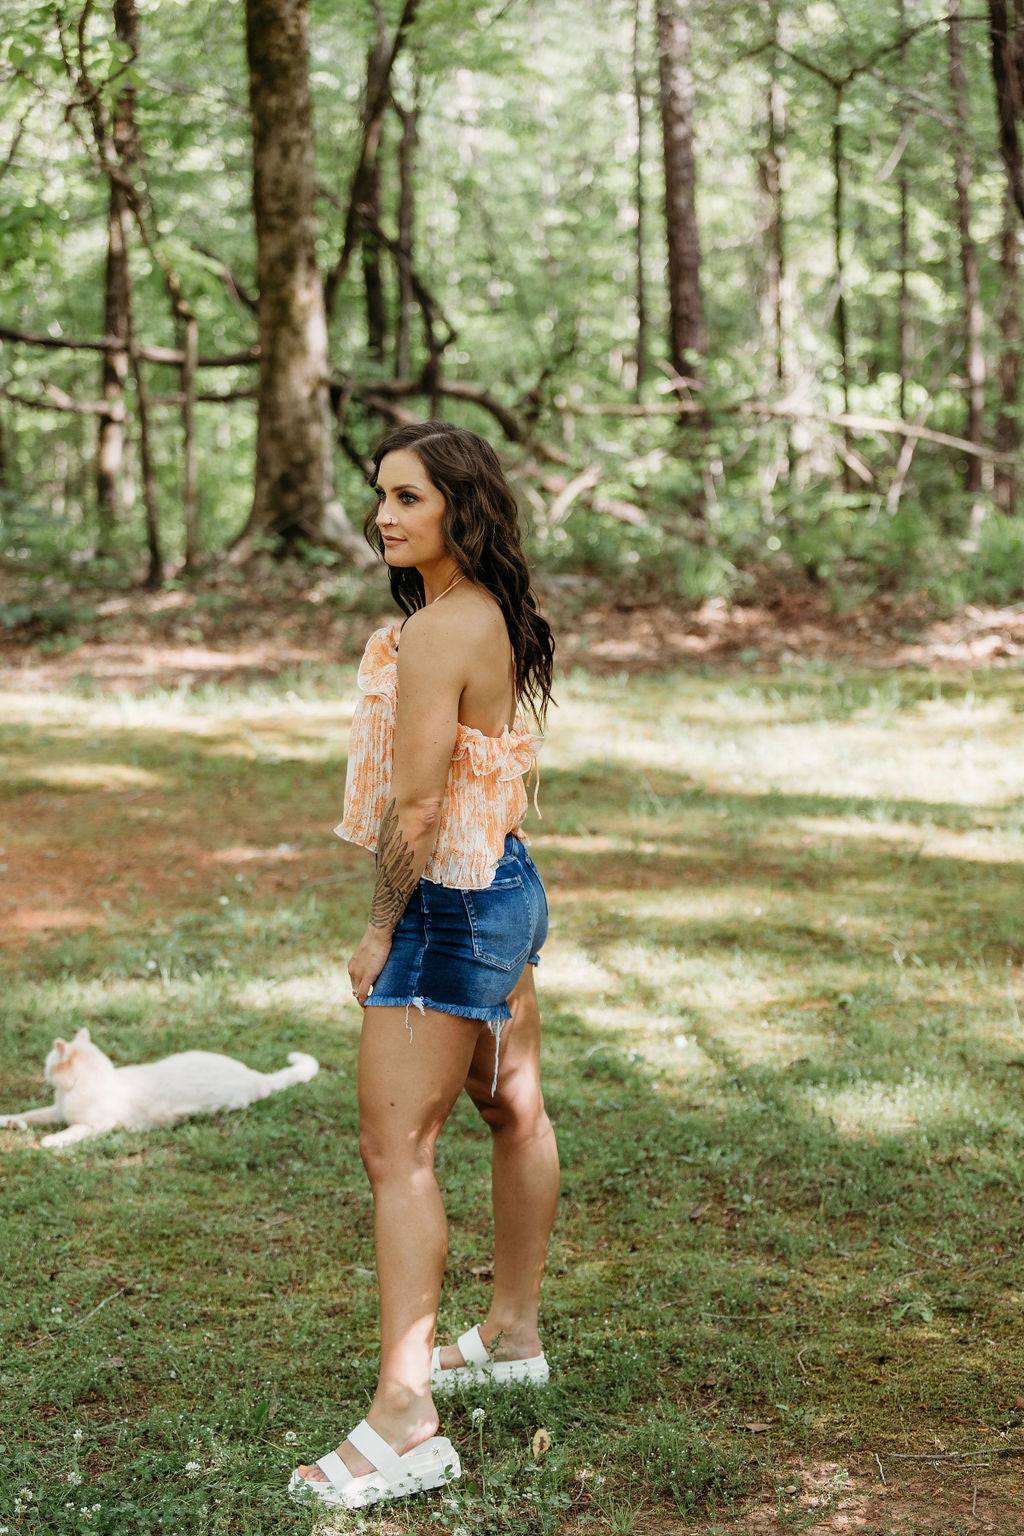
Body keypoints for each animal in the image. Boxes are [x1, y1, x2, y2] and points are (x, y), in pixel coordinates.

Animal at [0, 1026, 320, 1148]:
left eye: (48, 1061)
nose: (44, 1071)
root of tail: (255, 1075)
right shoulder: (56, 1111)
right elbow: (30, 1115)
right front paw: (8, 1120)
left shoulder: (97, 1125)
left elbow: (72, 1132)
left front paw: (52, 1140)